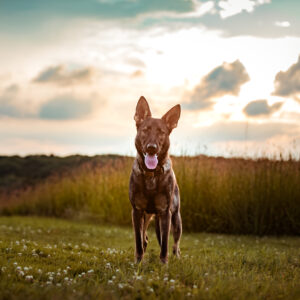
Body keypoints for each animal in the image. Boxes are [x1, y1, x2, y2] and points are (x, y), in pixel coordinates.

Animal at [128, 96, 182, 262]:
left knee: (175, 243)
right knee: (144, 238)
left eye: (161, 132)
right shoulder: (137, 212)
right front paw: (138, 262)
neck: (151, 174)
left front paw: (164, 263)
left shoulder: (165, 213)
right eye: (145, 130)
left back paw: (177, 256)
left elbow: (165, 244)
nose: (151, 148)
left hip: (176, 219)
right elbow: (138, 241)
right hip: (147, 217)